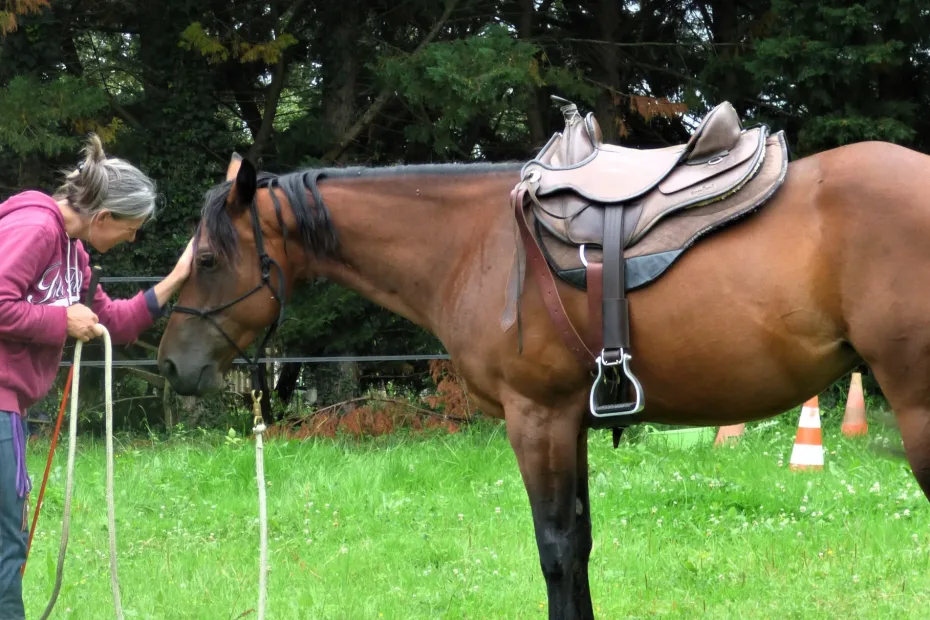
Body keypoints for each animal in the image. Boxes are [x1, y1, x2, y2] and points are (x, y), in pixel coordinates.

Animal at [156, 114, 930, 618]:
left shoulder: (537, 419)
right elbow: (579, 545)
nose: (169, 366)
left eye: (208, 259)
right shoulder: (570, 423)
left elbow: (555, 549)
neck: (474, 244)